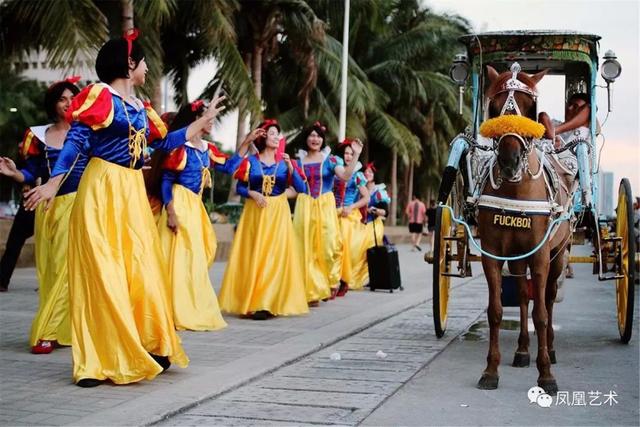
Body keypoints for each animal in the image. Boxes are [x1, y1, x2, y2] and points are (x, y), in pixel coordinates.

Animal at [476, 62, 576, 394]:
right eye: (494, 108)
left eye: (530, 107)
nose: (509, 161)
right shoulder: (493, 254)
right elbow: (496, 311)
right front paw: (490, 370)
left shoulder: (541, 255)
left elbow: (542, 314)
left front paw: (545, 374)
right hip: (519, 258)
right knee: (522, 296)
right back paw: (521, 350)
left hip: (559, 253)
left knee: (547, 297)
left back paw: (550, 349)